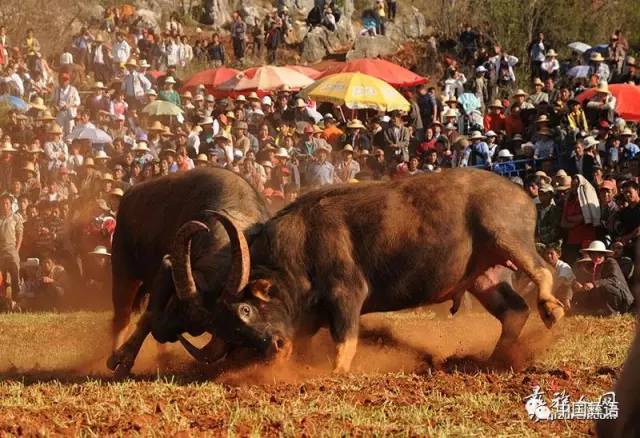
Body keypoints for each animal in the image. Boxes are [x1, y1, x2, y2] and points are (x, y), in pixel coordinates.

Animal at [107, 169, 270, 374]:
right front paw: (122, 360)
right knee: (122, 316)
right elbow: (147, 316)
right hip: (123, 269)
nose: (162, 333)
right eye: (177, 305)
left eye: (197, 330)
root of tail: (130, 194)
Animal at [170, 168, 564, 372]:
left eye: (246, 310)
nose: (273, 350)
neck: (299, 248)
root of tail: (521, 194)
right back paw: (498, 359)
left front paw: (335, 373)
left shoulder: (346, 296)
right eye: (232, 334)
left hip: (506, 236)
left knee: (542, 272)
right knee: (514, 310)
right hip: (485, 278)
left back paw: (551, 309)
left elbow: (344, 342)